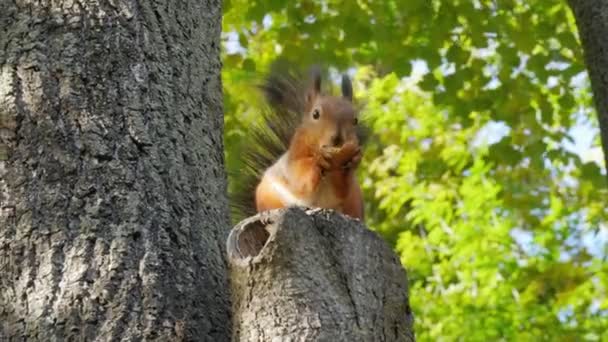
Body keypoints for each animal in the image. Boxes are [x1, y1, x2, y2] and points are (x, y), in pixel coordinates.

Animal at [230, 63, 366, 224]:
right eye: (315, 114)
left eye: (355, 120)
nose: (338, 139)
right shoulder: (293, 160)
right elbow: (300, 178)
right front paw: (319, 160)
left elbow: (341, 189)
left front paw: (353, 160)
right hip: (267, 195)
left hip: (355, 200)